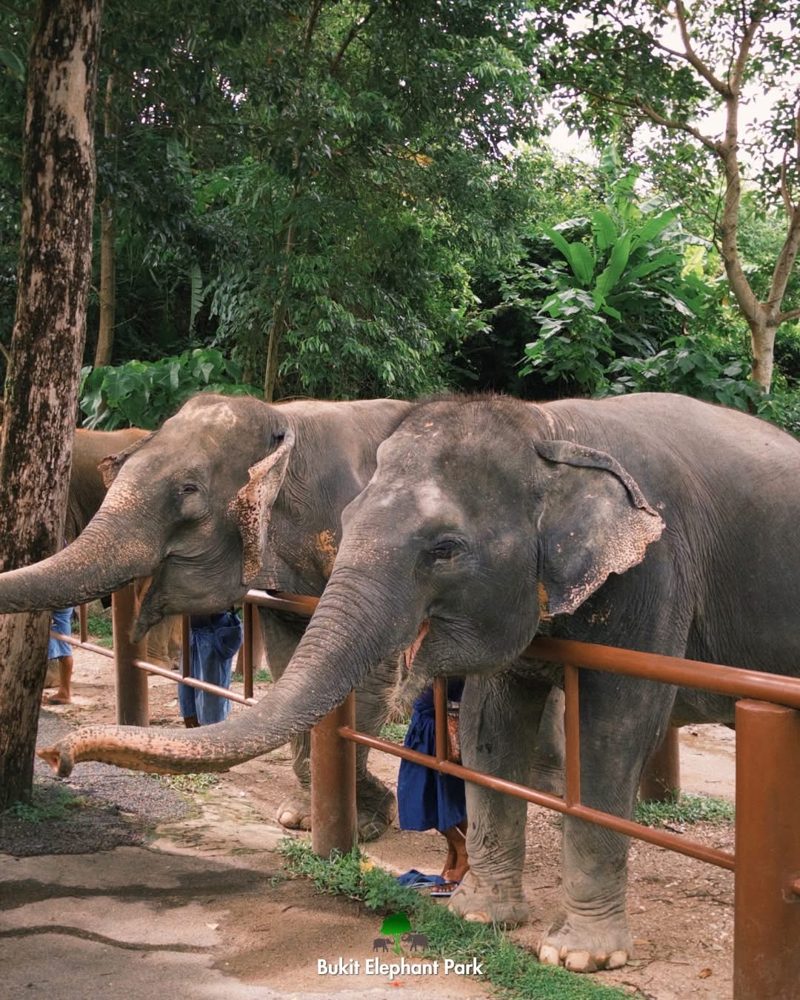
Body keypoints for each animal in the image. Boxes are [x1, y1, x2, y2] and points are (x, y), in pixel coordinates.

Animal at [21, 391, 800, 974]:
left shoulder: (652, 575)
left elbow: (610, 727)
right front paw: (475, 910)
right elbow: (482, 722)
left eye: (445, 550)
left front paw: (577, 958)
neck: (556, 431)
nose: (57, 757)